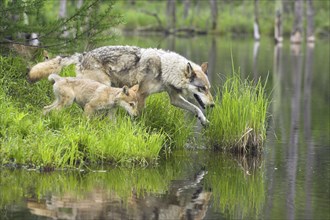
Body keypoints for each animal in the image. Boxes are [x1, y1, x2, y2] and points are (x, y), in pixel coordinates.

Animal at [28, 45, 214, 124]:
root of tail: (82, 55)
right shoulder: (141, 95)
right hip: (102, 84)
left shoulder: (174, 99)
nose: (213, 105)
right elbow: (138, 113)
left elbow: (196, 108)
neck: (165, 68)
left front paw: (204, 120)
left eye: (209, 89)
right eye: (201, 88)